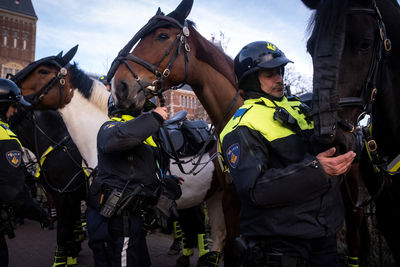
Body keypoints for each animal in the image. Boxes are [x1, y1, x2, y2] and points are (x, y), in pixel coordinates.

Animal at [9, 109, 87, 267]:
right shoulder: (71, 197)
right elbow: (72, 224)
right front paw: (72, 253)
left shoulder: (62, 195)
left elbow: (63, 228)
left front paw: (60, 260)